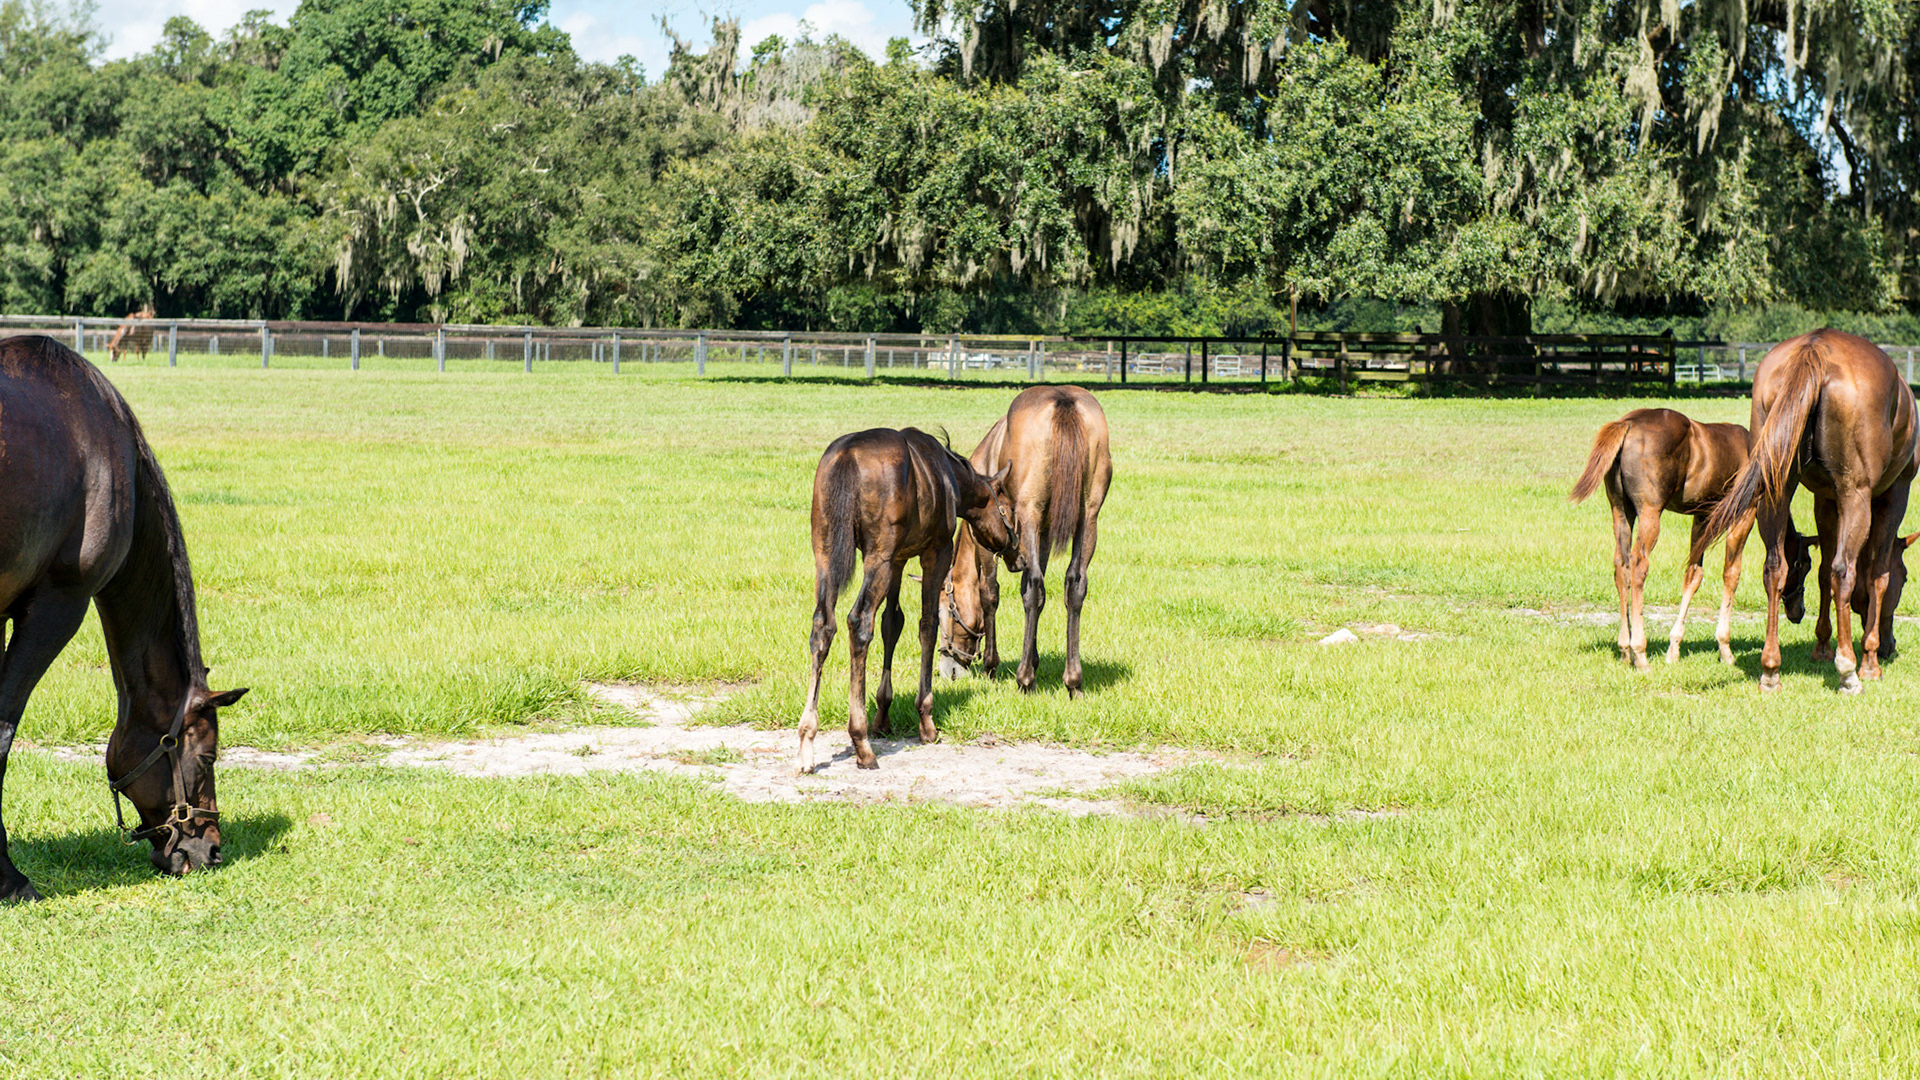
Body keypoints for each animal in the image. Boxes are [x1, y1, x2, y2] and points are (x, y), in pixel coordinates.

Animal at [798, 427, 1012, 774]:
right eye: (1008, 508)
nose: (1015, 544)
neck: (949, 476)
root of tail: (846, 456)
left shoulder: (898, 560)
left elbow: (892, 623)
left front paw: (882, 714)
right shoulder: (935, 553)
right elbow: (927, 625)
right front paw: (926, 721)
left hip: (827, 554)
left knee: (823, 626)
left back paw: (807, 739)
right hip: (878, 559)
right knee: (859, 622)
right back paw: (861, 743)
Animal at [938, 386, 1111, 696]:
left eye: (943, 611)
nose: (948, 669)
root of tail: (1063, 400)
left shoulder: (986, 542)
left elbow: (989, 593)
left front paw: (992, 665)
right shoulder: (1041, 536)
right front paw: (1033, 657)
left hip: (1031, 512)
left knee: (1032, 585)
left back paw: (1024, 679)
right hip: (1089, 516)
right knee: (1073, 584)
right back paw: (1073, 681)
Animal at [1569, 408, 1755, 668]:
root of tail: (1628, 423)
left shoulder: (1702, 516)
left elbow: (1693, 573)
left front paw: (1674, 648)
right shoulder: (1744, 513)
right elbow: (1731, 573)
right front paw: (1725, 650)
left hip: (1620, 510)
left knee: (1621, 565)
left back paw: (1625, 651)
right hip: (1650, 512)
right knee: (1638, 564)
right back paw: (1640, 653)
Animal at [1703, 329, 1918, 692]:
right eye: (1906, 579)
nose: (1890, 646)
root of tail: (1815, 348)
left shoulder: (1825, 500)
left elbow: (1820, 573)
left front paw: (1822, 646)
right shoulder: (1894, 494)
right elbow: (1876, 574)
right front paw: (1869, 660)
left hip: (1774, 489)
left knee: (1774, 568)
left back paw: (1771, 669)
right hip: (1856, 494)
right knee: (1844, 571)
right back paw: (1848, 671)